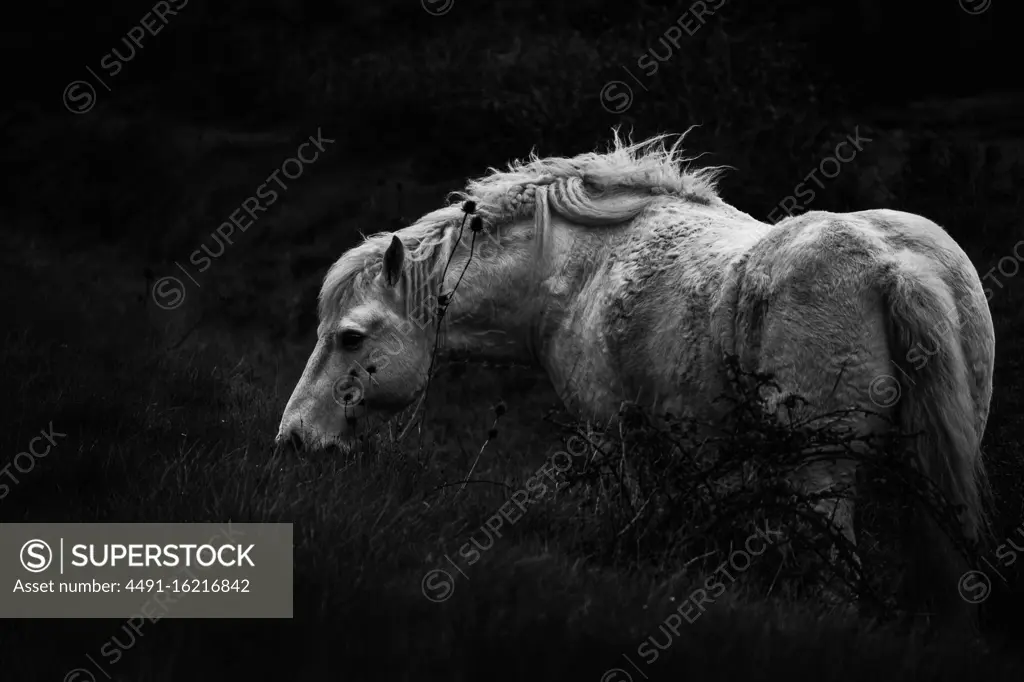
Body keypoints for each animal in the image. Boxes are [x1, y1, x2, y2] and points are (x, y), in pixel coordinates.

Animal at [278, 130, 991, 622]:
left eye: (350, 338)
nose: (294, 439)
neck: (576, 267)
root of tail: (893, 268)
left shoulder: (614, 435)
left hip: (820, 475)